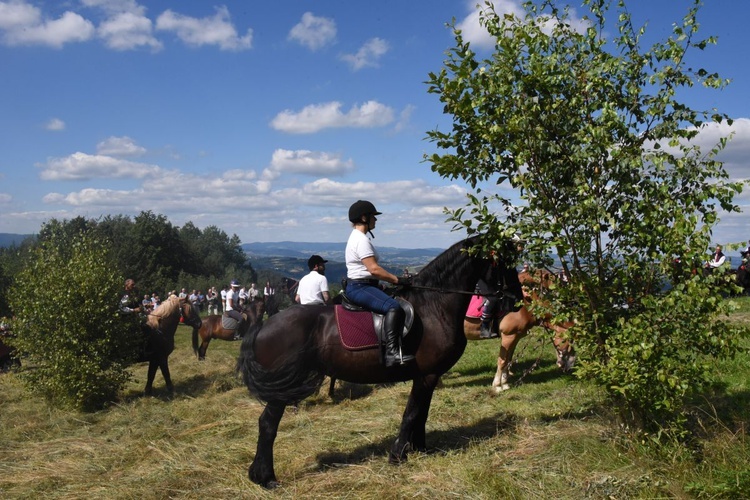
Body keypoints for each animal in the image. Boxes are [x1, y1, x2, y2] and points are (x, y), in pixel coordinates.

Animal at [238, 237, 520, 488]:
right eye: (503, 262)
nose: (516, 299)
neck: (433, 306)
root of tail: (263, 326)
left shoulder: (429, 376)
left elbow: (422, 412)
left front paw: (420, 448)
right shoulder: (427, 375)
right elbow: (412, 413)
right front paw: (398, 454)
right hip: (279, 390)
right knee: (267, 425)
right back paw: (266, 478)